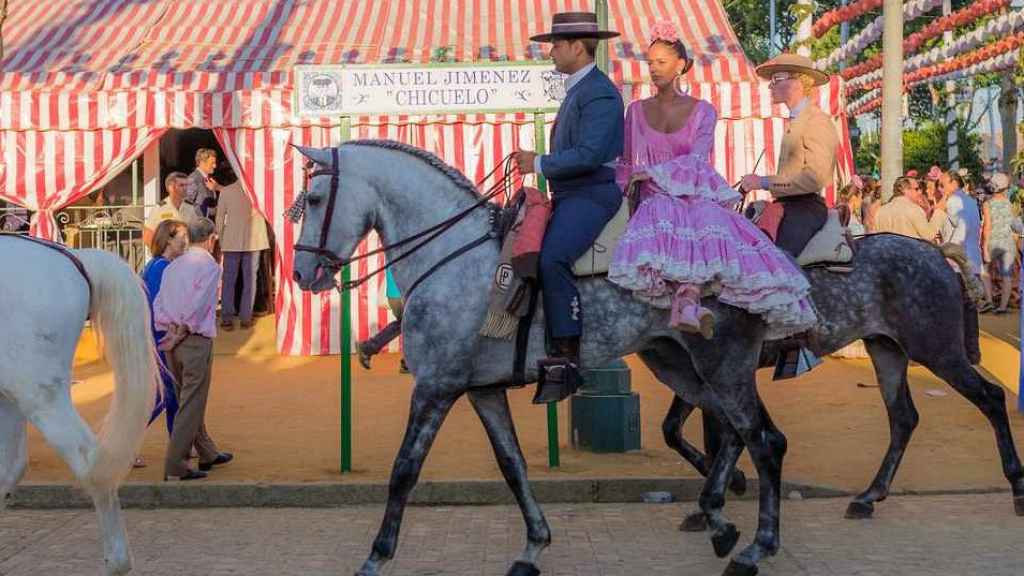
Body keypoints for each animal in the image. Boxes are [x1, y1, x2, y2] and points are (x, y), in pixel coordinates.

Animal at [290, 140, 1024, 573]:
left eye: (316, 198)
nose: (302, 274)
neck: (456, 259)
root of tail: (933, 252)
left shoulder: (438, 387)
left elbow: (403, 473)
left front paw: (376, 556)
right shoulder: (482, 390)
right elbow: (515, 467)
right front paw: (534, 544)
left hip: (901, 351)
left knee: (785, 436)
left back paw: (757, 543)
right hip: (873, 351)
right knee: (895, 419)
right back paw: (854, 501)